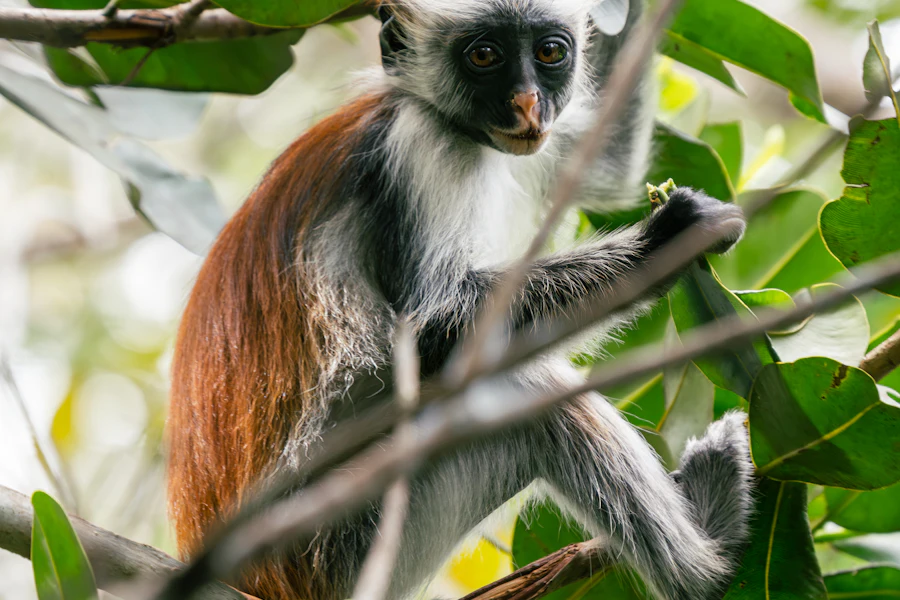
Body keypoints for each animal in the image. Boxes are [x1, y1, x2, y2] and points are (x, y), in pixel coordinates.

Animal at [167, 1, 754, 599]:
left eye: (550, 51)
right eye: (484, 56)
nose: (527, 101)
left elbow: (603, 162)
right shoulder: (423, 146)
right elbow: (435, 329)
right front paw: (669, 238)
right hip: (344, 540)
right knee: (535, 396)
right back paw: (705, 559)